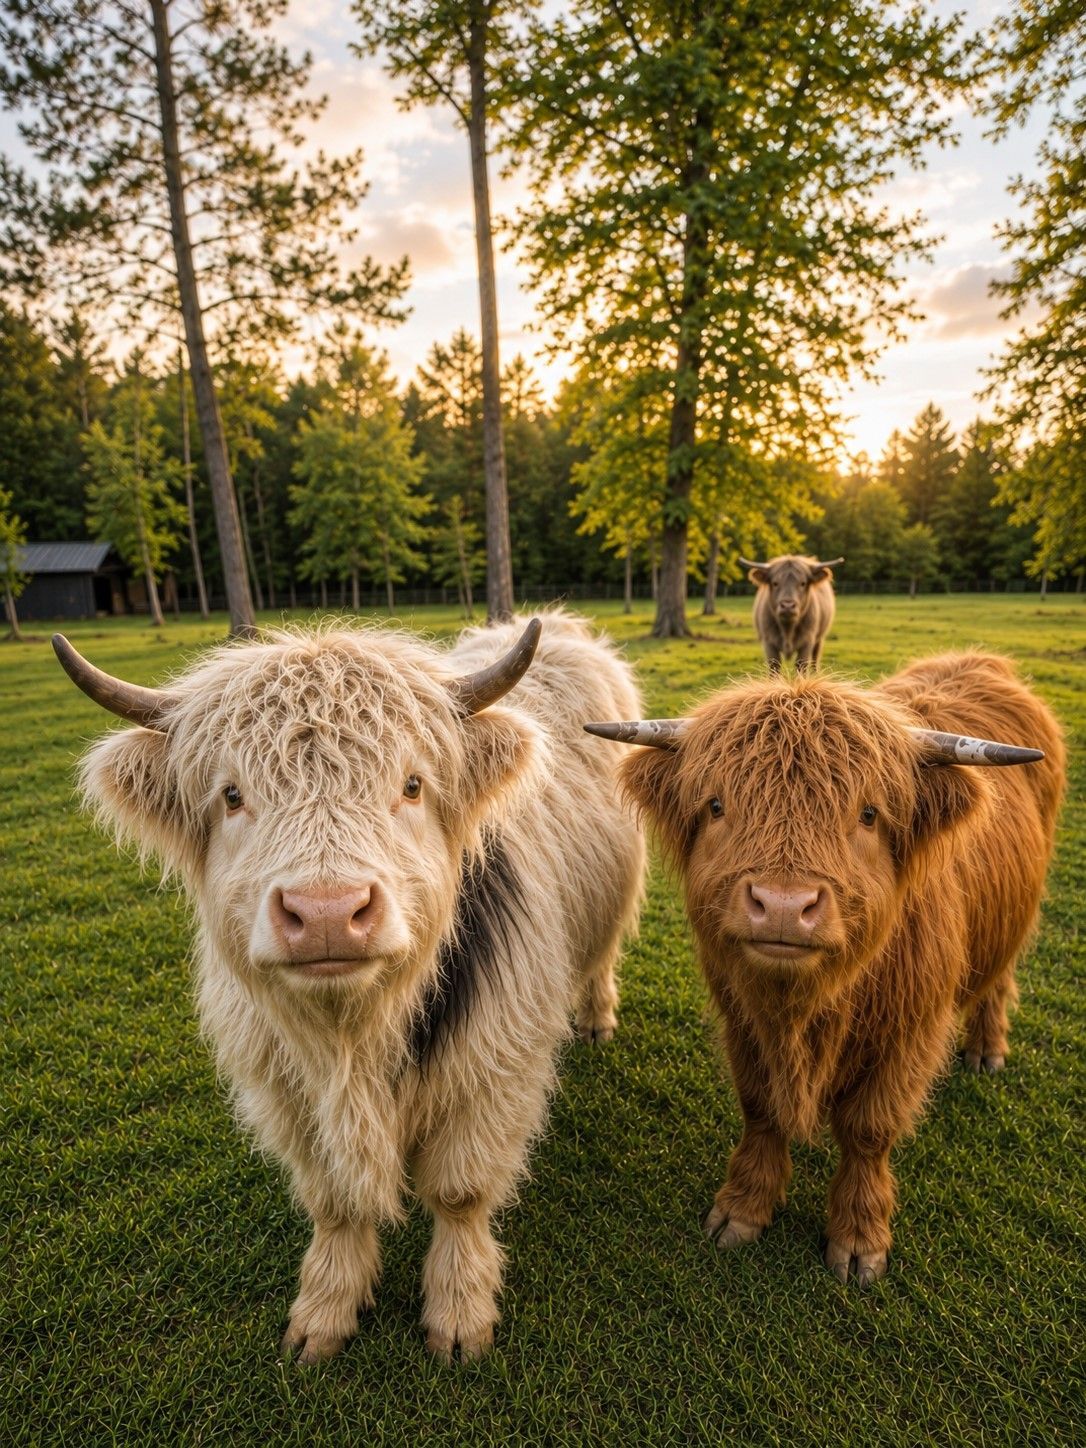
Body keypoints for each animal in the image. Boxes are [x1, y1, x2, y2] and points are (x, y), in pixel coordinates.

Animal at [54, 614, 645, 1361]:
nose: (328, 914)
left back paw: (596, 1017)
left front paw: (459, 1316)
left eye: (413, 785)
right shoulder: (286, 1092)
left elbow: (460, 1193)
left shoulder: (494, 1072)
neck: (352, 1040)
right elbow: (333, 1203)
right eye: (232, 794)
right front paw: (324, 1312)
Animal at [585, 652, 1063, 1285]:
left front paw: (859, 1238)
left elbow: (868, 1131)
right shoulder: (742, 1018)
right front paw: (743, 1208)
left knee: (999, 976)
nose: (784, 905)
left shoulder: (909, 1034)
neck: (806, 1011)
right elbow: (760, 1107)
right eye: (716, 805)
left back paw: (987, 1049)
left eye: (868, 813)